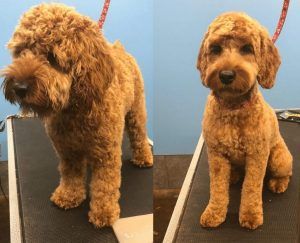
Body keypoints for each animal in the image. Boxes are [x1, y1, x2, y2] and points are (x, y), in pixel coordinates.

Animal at [1, 3, 152, 228]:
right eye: (20, 52)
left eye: (52, 57)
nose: (19, 87)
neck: (74, 110)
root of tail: (120, 50)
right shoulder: (67, 151)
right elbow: (70, 175)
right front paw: (68, 196)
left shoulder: (106, 153)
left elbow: (105, 184)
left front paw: (103, 212)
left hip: (136, 110)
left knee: (139, 135)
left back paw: (143, 157)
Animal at [197, 12, 292, 230]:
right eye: (216, 49)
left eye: (247, 48)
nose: (226, 75)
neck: (233, 107)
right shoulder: (216, 154)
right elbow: (217, 188)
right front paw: (214, 213)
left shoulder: (257, 156)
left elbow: (251, 187)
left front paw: (250, 215)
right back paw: (233, 175)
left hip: (279, 159)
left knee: (285, 173)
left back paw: (278, 183)